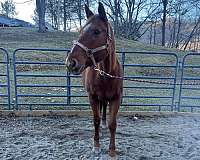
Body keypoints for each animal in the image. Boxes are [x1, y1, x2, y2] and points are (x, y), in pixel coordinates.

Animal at [65, 2, 122, 158]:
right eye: (80, 31)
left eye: (96, 31)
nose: (70, 62)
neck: (106, 74)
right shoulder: (92, 97)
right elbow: (95, 120)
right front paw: (96, 146)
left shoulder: (116, 98)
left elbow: (113, 123)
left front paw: (112, 150)